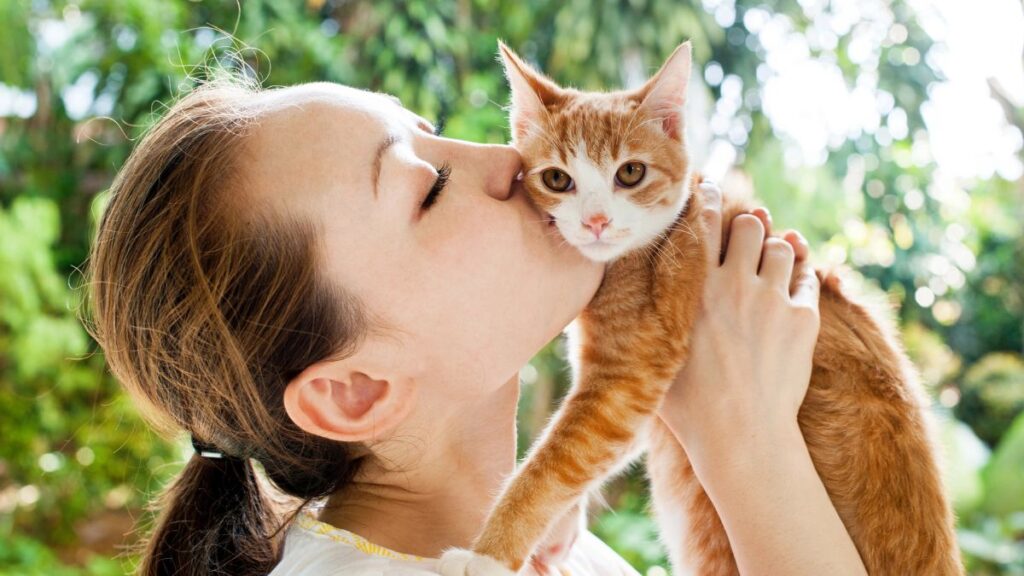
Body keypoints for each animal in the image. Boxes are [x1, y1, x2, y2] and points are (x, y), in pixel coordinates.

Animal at [438, 41, 958, 573]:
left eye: (630, 173)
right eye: (558, 179)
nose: (596, 221)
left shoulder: (627, 376)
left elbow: (557, 461)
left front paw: (489, 553)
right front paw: (557, 531)